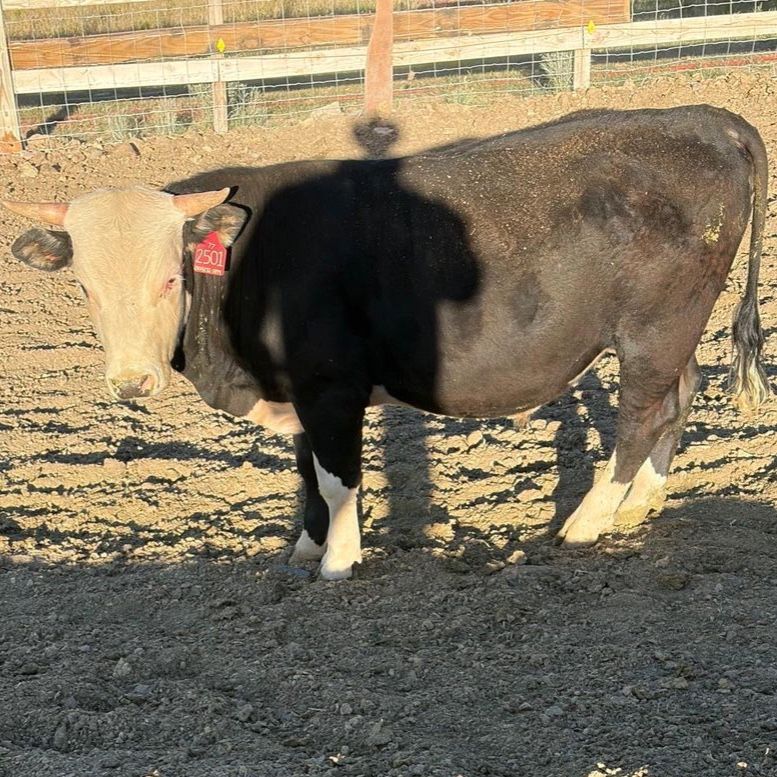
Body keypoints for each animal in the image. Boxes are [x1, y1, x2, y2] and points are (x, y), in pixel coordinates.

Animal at [2, 105, 770, 580]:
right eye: (84, 287)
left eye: (169, 276)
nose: (132, 381)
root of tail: (704, 118)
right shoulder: (297, 392)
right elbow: (307, 472)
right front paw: (303, 548)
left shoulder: (330, 386)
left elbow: (337, 476)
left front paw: (338, 562)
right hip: (676, 330)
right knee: (679, 397)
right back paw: (641, 504)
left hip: (654, 329)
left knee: (640, 416)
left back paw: (588, 520)